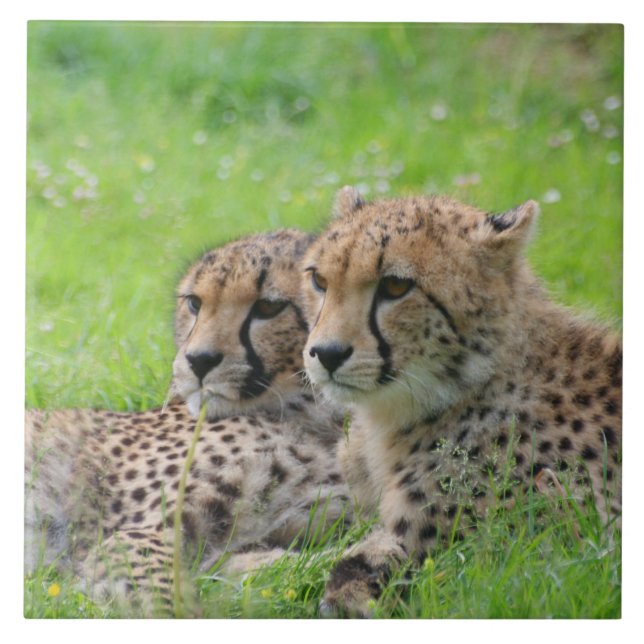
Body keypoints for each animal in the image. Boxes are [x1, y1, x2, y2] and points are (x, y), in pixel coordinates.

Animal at [25, 229, 351, 614]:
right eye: (195, 303)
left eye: (269, 307)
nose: (198, 360)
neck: (312, 415)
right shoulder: (138, 534)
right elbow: (166, 599)